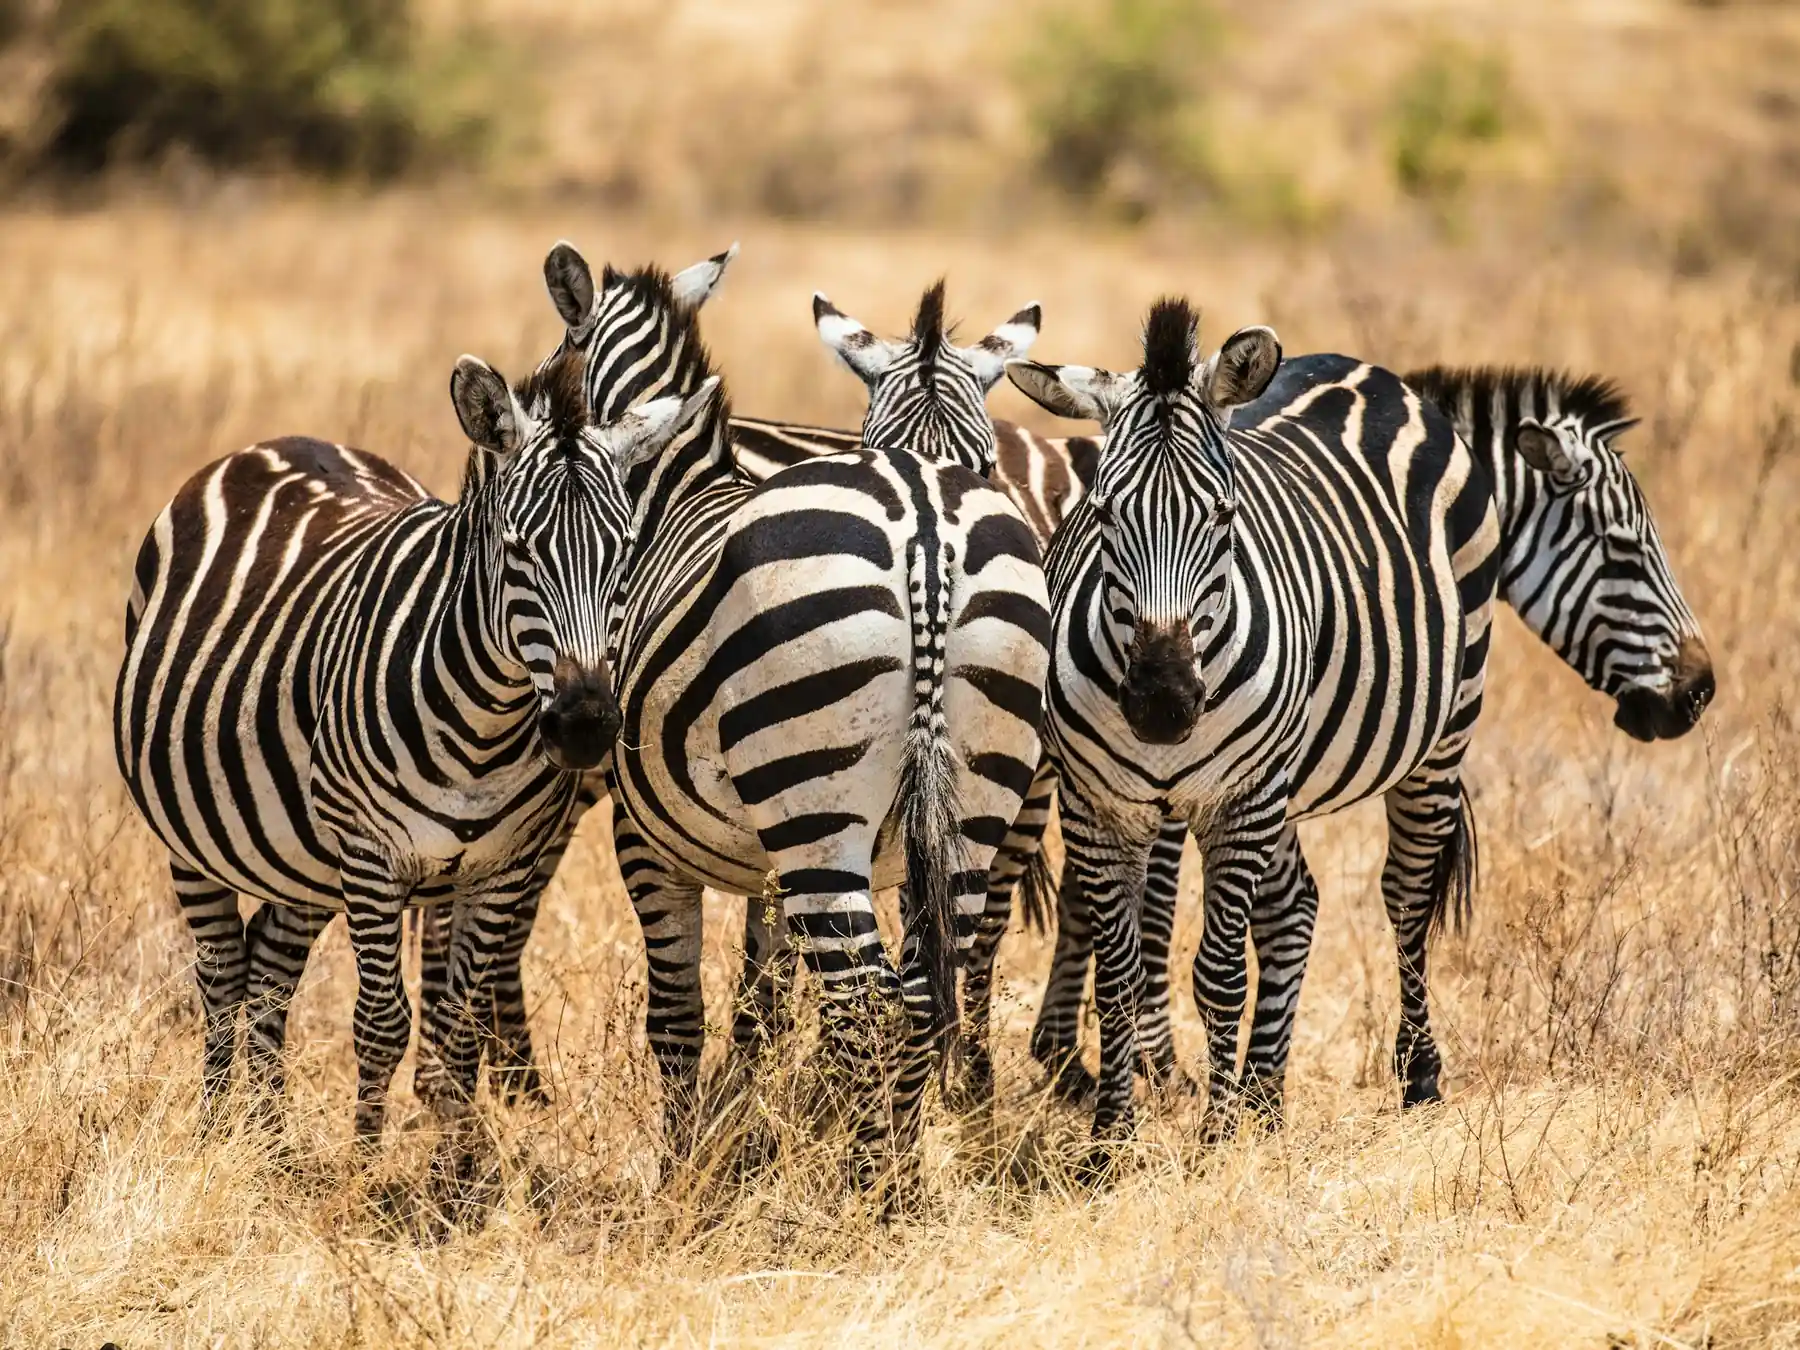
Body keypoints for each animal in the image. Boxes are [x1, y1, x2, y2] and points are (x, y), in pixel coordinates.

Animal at [113, 347, 706, 1147]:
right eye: (516, 552)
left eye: (626, 555)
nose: (585, 723)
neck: (485, 728)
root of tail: (282, 441)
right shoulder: (371, 854)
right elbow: (382, 1022)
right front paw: (366, 1160)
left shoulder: (500, 866)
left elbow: (454, 1025)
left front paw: (455, 1164)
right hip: (194, 836)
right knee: (223, 972)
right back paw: (217, 1132)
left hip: (304, 854)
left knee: (270, 970)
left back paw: (268, 1140)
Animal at [536, 243, 1051, 1192]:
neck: (674, 495)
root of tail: (926, 528)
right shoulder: (774, 865)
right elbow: (763, 1000)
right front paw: (747, 1144)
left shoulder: (645, 839)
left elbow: (678, 1015)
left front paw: (686, 1176)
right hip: (974, 791)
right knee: (923, 991)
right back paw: (897, 1180)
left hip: (814, 801)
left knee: (866, 1001)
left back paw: (864, 1191)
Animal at [1005, 300, 1502, 1147]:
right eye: (1102, 513)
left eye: (1223, 514)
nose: (1163, 704)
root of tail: (1362, 370)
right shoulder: (1098, 806)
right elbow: (1120, 973)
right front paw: (1112, 1139)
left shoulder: (1238, 804)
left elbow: (1218, 972)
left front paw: (1214, 1134)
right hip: (1285, 780)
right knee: (1293, 908)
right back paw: (1267, 1099)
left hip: (1442, 730)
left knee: (1406, 894)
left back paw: (1417, 1076)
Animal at [1025, 361, 1716, 1116]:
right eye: (1624, 550)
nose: (1699, 690)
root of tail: (1373, 376)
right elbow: (1146, 905)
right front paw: (1140, 1065)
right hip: (1443, 731)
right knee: (1397, 896)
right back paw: (1405, 1075)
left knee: (1321, 902)